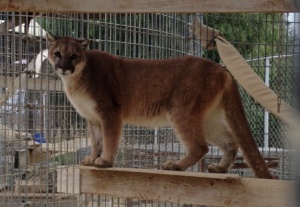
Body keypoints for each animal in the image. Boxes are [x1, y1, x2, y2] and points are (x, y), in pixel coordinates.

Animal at [45, 33, 274, 179]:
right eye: (57, 53)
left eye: (74, 56)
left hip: (181, 111)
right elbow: (95, 141)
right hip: (207, 119)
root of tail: (221, 68)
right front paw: (92, 158)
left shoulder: (109, 112)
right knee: (231, 143)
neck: (76, 79)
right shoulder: (92, 118)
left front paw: (105, 161)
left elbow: (109, 139)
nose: (63, 67)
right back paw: (219, 169)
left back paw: (175, 166)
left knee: (201, 146)